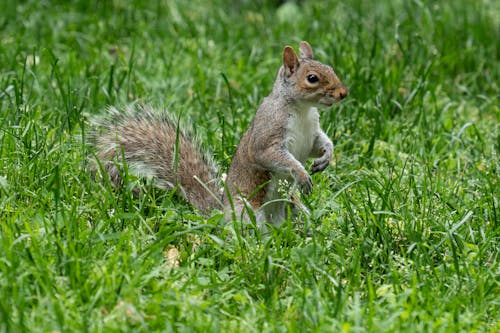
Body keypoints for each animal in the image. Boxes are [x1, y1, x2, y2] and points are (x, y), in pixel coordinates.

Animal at [95, 41, 350, 228]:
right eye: (312, 78)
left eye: (331, 68)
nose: (343, 93)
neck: (302, 110)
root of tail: (220, 213)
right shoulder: (267, 135)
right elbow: (271, 156)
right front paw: (302, 174)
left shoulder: (311, 134)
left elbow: (319, 145)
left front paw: (326, 157)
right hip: (247, 210)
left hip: (292, 207)